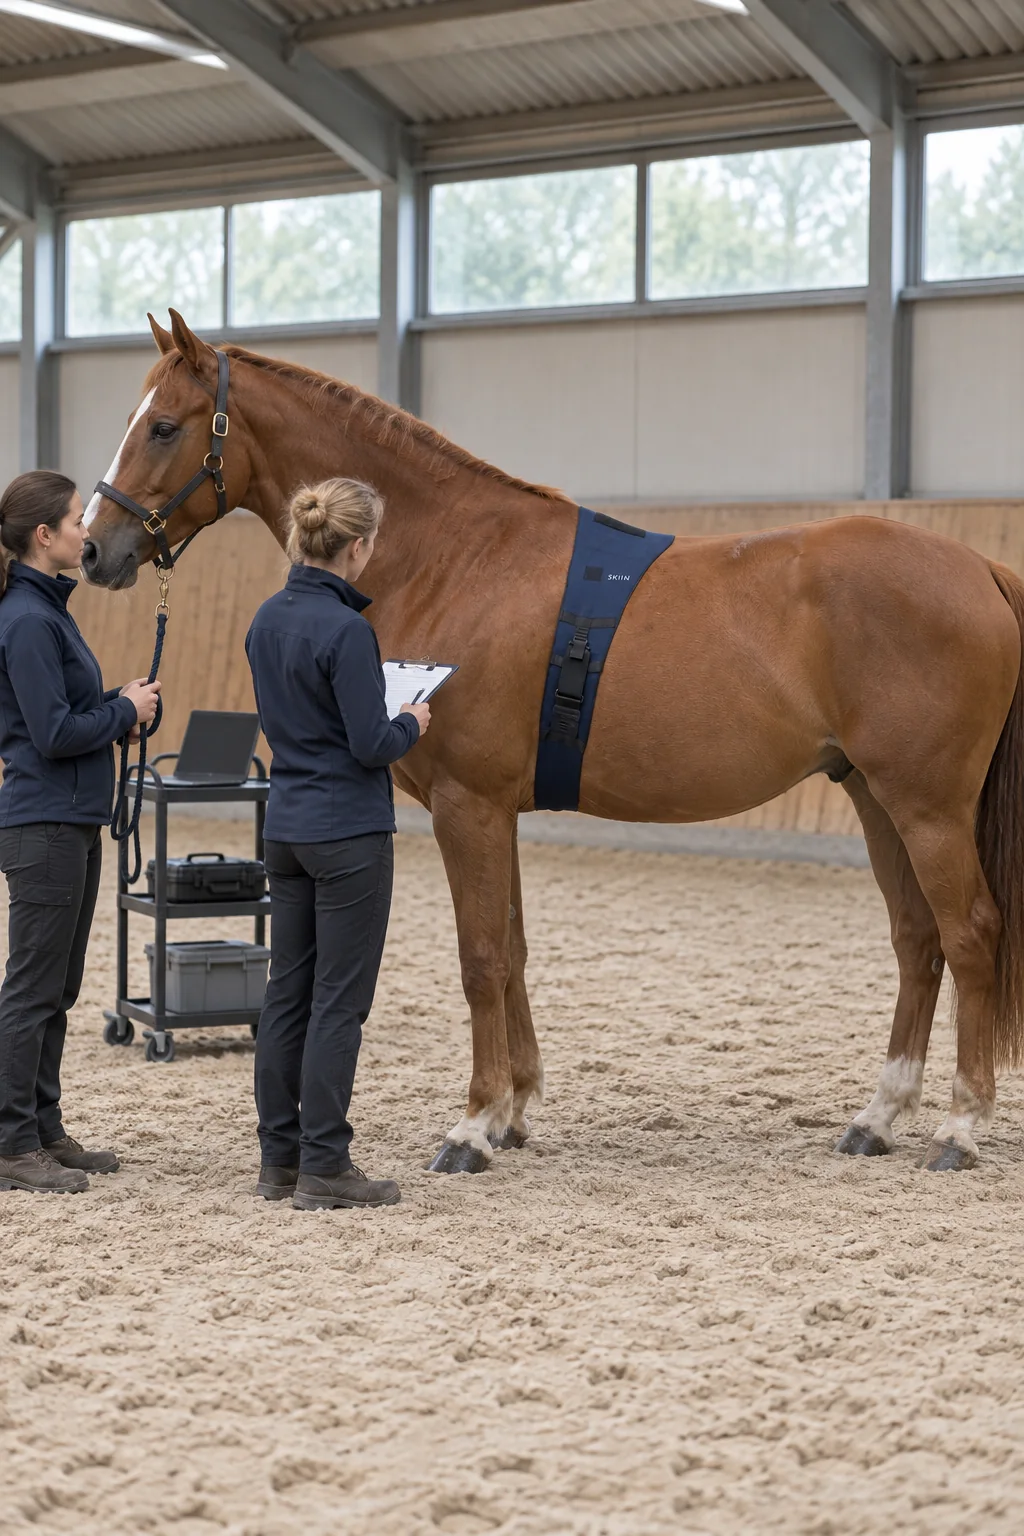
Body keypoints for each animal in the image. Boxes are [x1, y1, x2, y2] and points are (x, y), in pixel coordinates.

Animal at [81, 308, 1024, 1176]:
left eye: (164, 426)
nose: (95, 548)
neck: (454, 558)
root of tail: (979, 568)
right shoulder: (498, 810)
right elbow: (514, 952)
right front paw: (512, 1112)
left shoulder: (468, 807)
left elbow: (480, 958)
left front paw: (470, 1128)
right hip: (874, 795)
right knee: (917, 940)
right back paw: (879, 1117)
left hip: (926, 807)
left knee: (971, 933)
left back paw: (960, 1127)